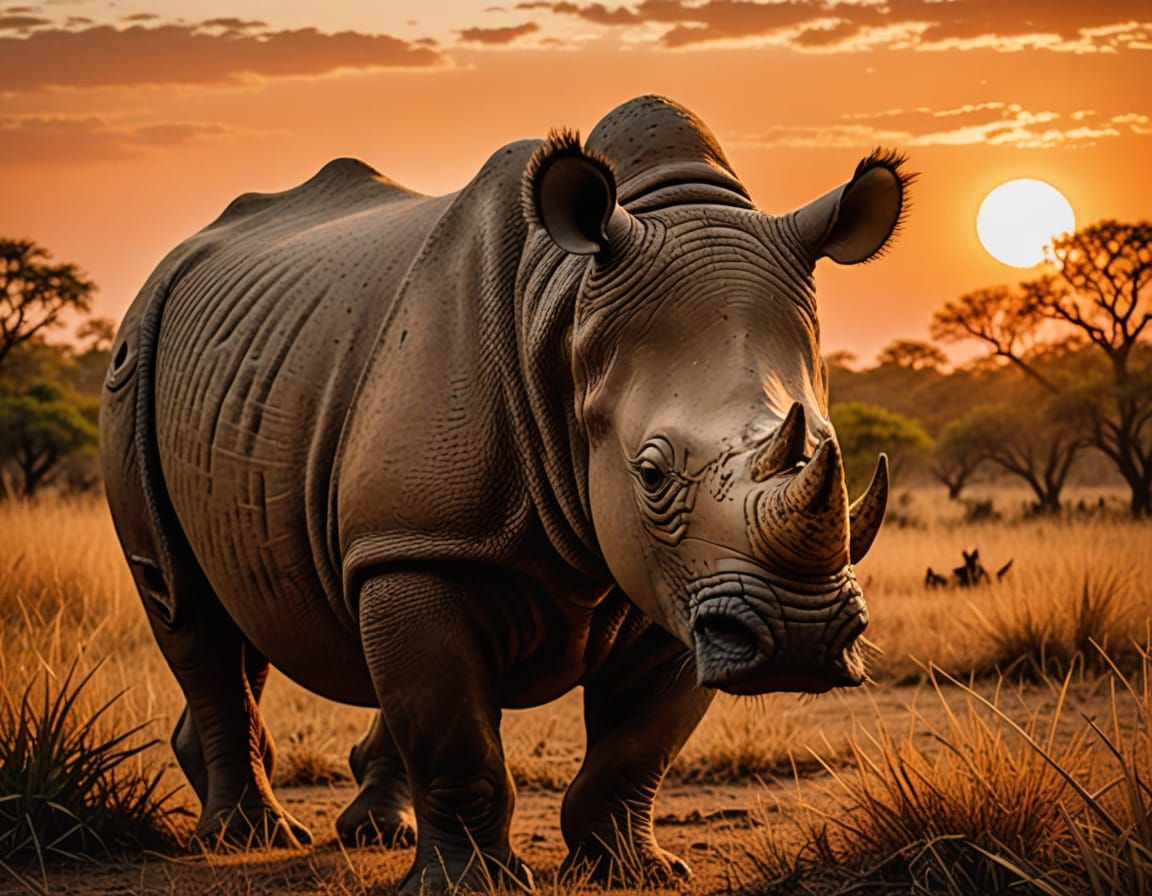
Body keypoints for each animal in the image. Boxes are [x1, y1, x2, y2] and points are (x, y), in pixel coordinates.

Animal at [100, 95, 906, 892]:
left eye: (830, 446)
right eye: (650, 473)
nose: (802, 638)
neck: (568, 313)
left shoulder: (691, 578)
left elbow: (637, 744)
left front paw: (634, 871)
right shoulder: (438, 541)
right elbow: (458, 737)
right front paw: (470, 885)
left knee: (268, 608)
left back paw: (371, 831)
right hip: (136, 356)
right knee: (185, 606)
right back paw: (249, 836)